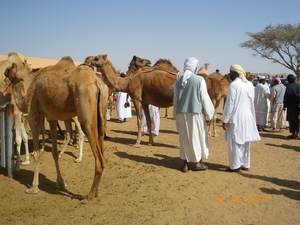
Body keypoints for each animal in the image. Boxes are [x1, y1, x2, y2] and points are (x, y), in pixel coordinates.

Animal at [4, 55, 108, 202]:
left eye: (11, 66)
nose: (4, 71)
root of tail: (97, 82)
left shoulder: (33, 115)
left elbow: (37, 153)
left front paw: (33, 187)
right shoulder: (52, 119)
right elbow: (54, 152)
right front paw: (60, 183)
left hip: (85, 113)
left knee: (98, 158)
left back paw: (89, 196)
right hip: (101, 112)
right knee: (101, 142)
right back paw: (97, 192)